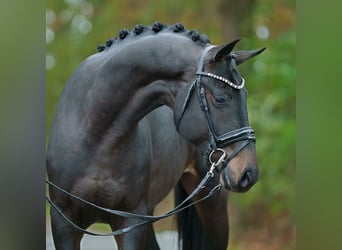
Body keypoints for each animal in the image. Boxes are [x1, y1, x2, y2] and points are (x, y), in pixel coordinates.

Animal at [46, 22, 264, 249]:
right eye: (221, 99)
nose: (248, 173)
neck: (95, 133)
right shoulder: (63, 222)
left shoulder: (130, 220)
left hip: (213, 205)